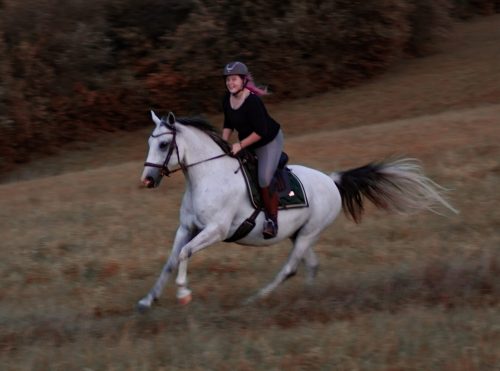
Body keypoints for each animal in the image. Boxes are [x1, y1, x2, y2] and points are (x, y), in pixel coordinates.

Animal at [138, 112, 458, 312]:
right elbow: (171, 260)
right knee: (311, 265)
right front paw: (147, 302)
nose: (147, 180)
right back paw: (308, 297)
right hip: (299, 234)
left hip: (309, 233)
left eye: (164, 144)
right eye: (150, 142)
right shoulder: (187, 228)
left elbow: (184, 254)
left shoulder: (215, 231)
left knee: (290, 268)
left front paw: (183, 293)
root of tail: (332, 180)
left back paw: (256, 299)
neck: (207, 176)